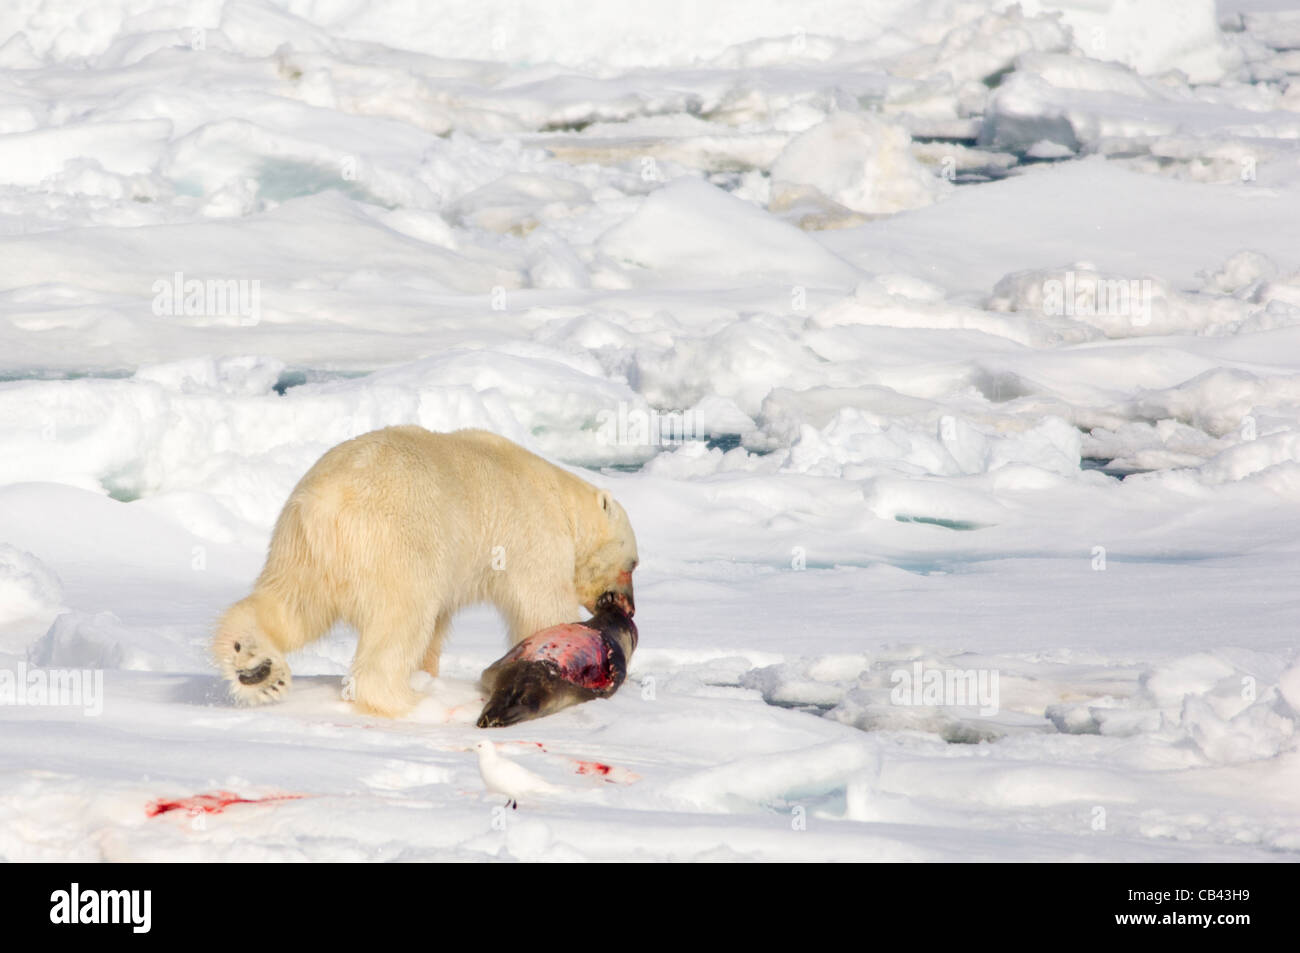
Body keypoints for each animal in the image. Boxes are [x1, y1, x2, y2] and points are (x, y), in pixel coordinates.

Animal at [210, 426, 637, 717]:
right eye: (632, 564)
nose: (629, 607)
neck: (561, 500)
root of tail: (323, 505)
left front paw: (429, 672)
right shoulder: (533, 534)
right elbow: (543, 606)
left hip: (301, 549)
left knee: (290, 606)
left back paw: (255, 668)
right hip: (396, 544)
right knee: (401, 620)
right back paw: (409, 702)